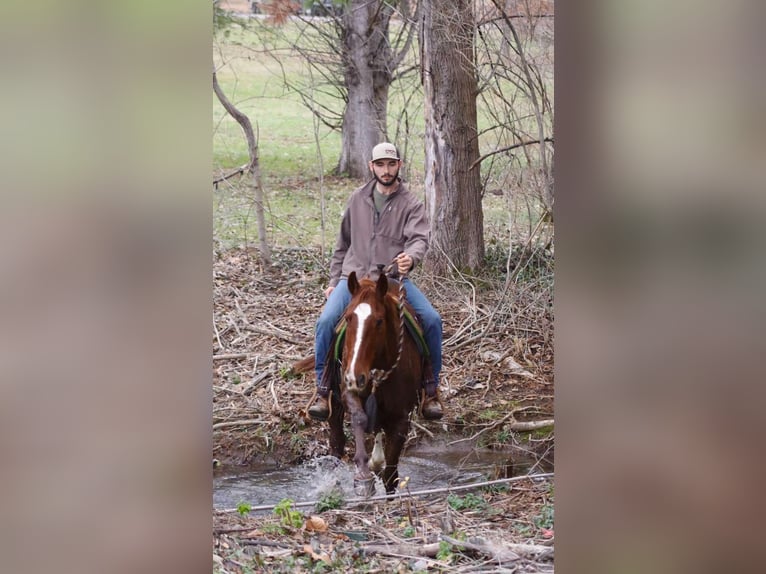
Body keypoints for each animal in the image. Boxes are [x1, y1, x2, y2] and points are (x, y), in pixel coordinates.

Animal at [327, 270, 424, 496]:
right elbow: (359, 418)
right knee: (337, 440)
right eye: (348, 317)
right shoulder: (349, 391)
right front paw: (363, 475)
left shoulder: (401, 418)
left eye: (379, 321)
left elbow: (390, 474)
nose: (355, 376)